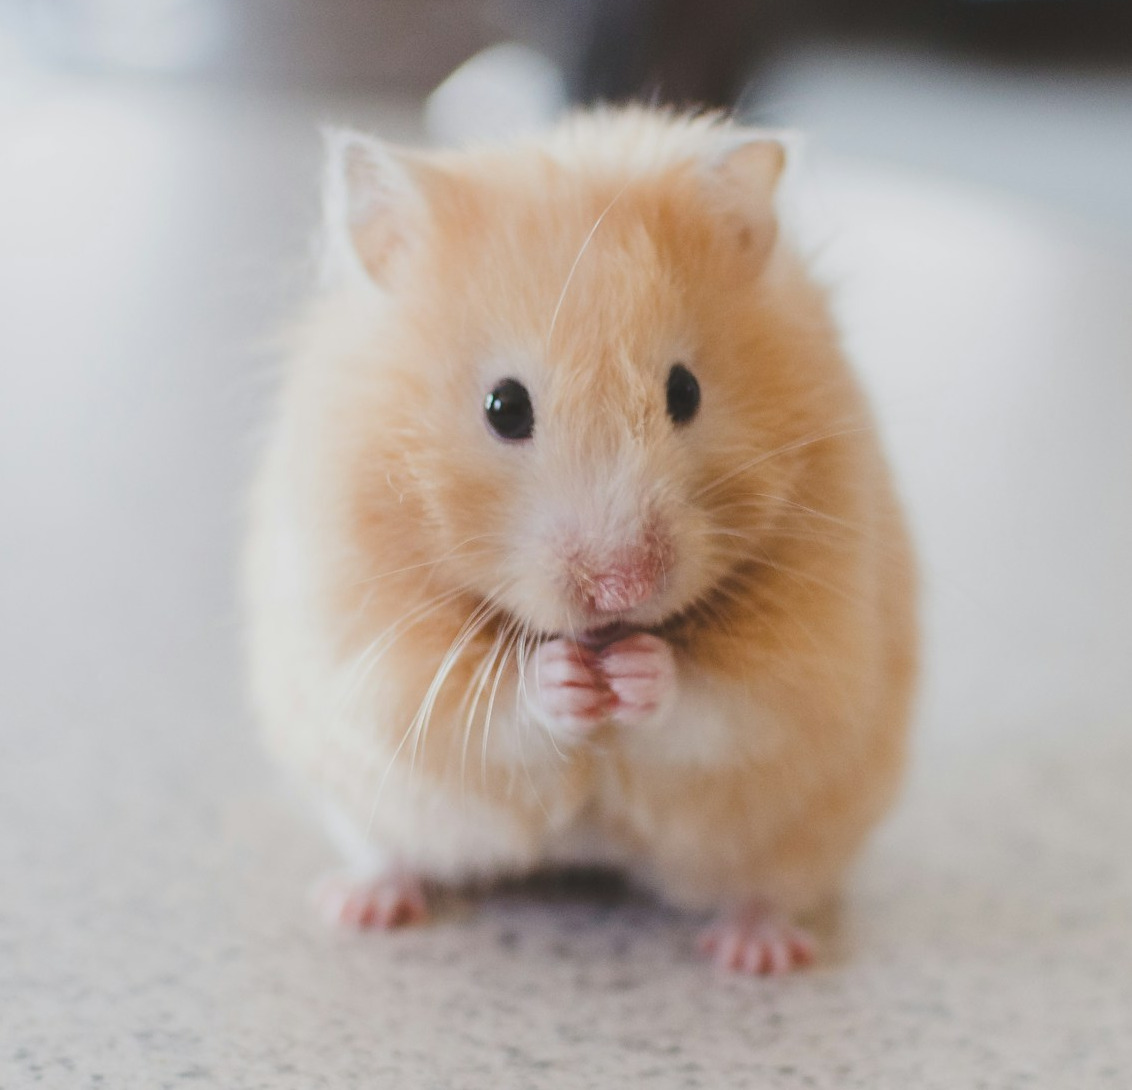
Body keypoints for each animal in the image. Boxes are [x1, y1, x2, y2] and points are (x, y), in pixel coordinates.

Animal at [244, 107, 918, 974]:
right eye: (504, 407)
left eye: (685, 391)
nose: (622, 588)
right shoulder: (373, 649)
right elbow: (485, 705)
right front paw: (566, 678)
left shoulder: (813, 654)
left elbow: (724, 703)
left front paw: (636, 672)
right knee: (390, 851)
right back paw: (359, 905)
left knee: (767, 886)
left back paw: (756, 953)